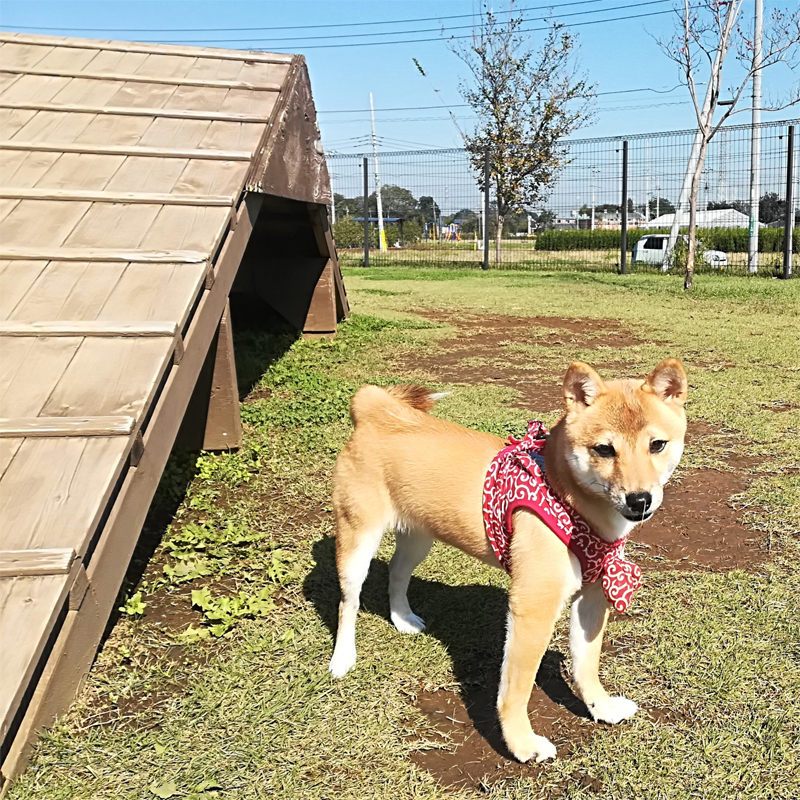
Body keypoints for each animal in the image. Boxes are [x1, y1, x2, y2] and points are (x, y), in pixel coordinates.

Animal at [324, 360, 688, 764]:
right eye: (604, 450)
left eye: (657, 445)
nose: (639, 500)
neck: (569, 495)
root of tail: (375, 411)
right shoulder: (533, 606)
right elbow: (516, 689)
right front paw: (521, 744)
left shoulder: (593, 595)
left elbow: (586, 665)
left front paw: (601, 707)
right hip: (358, 541)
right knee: (348, 601)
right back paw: (343, 658)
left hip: (419, 538)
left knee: (396, 575)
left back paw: (403, 618)